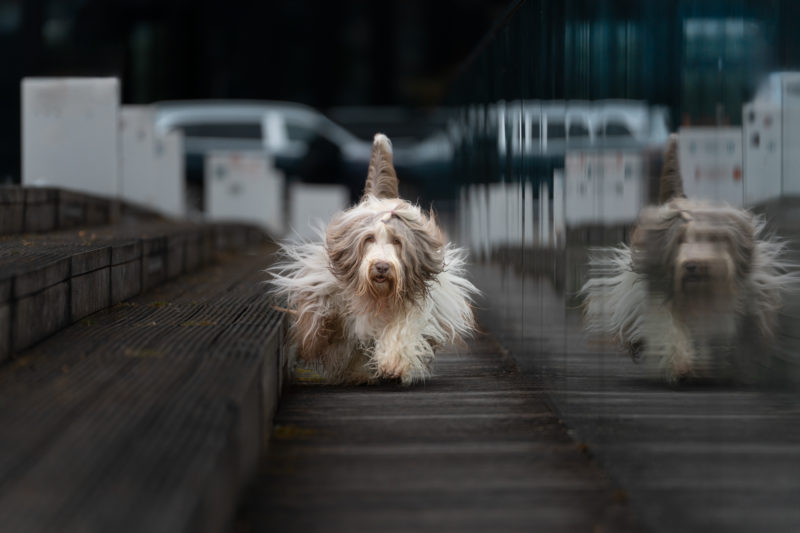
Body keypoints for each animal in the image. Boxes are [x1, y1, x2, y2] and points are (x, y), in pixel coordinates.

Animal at [272, 132, 478, 382]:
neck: (377, 296)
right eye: (369, 238)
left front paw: (393, 363)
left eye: (397, 241)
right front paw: (319, 334)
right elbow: (321, 316)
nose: (381, 267)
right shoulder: (325, 285)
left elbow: (400, 332)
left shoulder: (413, 307)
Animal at [580, 133, 792, 382]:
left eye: (712, 238)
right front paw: (681, 365)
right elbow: (671, 329)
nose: (692, 265)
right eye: (679, 239)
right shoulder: (661, 299)